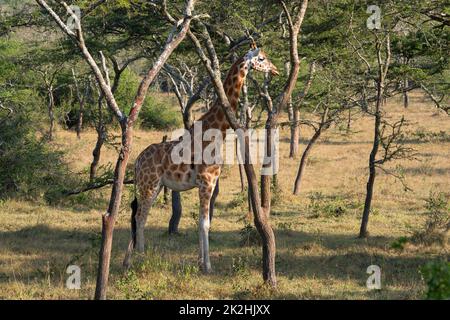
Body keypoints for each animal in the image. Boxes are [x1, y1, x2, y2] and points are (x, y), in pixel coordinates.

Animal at [123, 45, 278, 272]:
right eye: (261, 58)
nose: (275, 70)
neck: (217, 131)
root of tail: (136, 162)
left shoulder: (208, 183)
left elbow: (203, 222)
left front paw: (199, 262)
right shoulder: (207, 181)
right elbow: (204, 223)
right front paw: (207, 266)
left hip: (155, 185)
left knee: (140, 215)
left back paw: (131, 258)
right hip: (148, 183)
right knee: (139, 215)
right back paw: (139, 257)